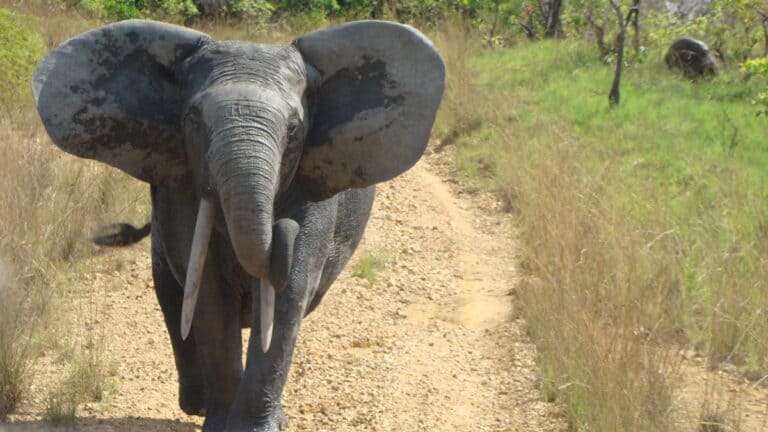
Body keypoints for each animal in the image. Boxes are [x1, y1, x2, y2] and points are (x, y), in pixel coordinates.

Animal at [34, 18, 444, 430]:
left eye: (294, 130)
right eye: (193, 120)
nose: (283, 228)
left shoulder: (312, 191)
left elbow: (288, 293)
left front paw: (254, 426)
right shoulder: (182, 189)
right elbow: (208, 294)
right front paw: (220, 425)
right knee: (171, 292)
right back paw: (197, 404)